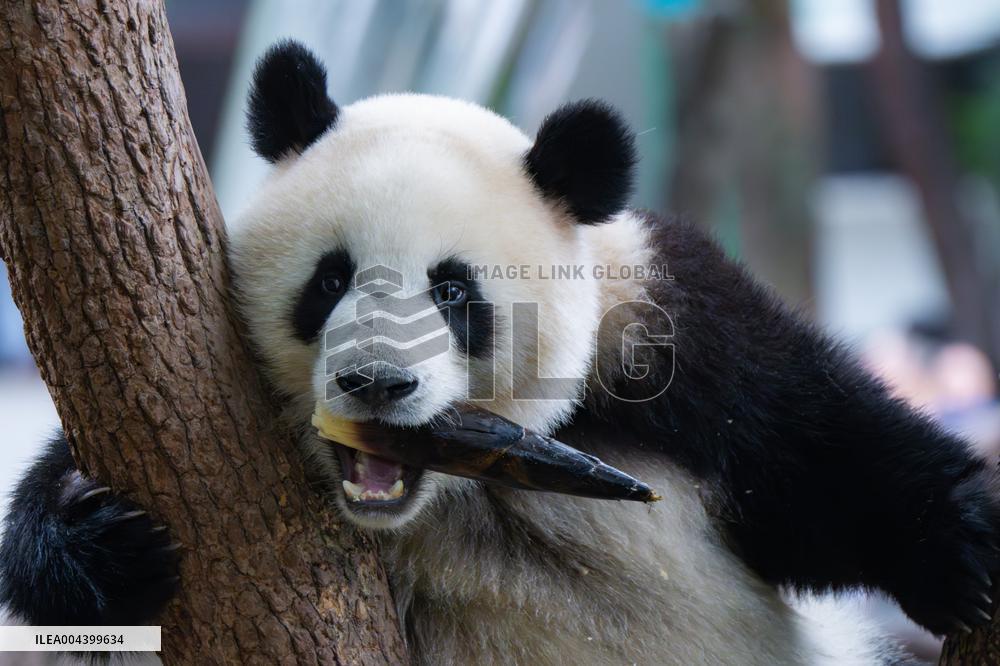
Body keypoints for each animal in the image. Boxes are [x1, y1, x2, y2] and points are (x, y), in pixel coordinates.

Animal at [1, 39, 998, 665]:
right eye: (330, 278)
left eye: (453, 291)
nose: (375, 382)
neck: (457, 489)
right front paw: (99, 540)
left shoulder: (660, 329)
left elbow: (815, 451)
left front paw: (965, 540)